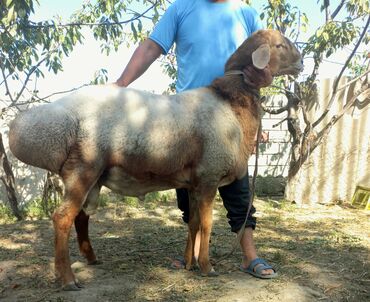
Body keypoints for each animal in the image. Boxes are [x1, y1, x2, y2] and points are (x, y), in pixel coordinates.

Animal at [8, 28, 304, 290]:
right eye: (280, 45)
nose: (301, 62)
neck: (230, 103)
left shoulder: (193, 182)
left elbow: (193, 222)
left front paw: (189, 264)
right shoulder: (209, 176)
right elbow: (207, 224)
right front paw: (207, 267)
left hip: (92, 178)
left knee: (81, 217)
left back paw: (91, 260)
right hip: (82, 169)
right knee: (62, 218)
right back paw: (67, 280)